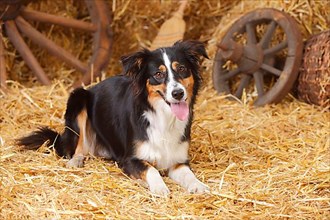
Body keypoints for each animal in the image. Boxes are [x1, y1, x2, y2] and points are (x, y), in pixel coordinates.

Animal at [18, 40, 209, 196]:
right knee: (77, 147)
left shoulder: (178, 161)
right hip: (78, 97)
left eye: (182, 69)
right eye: (158, 74)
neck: (163, 117)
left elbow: (189, 174)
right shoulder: (130, 159)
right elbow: (151, 170)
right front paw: (159, 187)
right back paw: (76, 162)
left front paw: (199, 185)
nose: (178, 93)